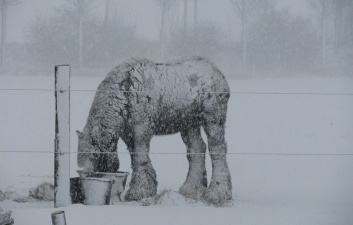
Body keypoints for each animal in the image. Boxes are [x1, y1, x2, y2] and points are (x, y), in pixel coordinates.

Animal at [76, 56, 231, 204]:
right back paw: (191, 189)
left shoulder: (141, 129)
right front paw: (147, 187)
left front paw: (138, 191)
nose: (85, 174)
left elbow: (140, 158)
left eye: (95, 155)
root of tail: (218, 72)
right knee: (197, 149)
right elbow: (135, 158)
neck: (126, 91)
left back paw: (218, 192)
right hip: (189, 125)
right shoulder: (128, 133)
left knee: (217, 150)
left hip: (213, 120)